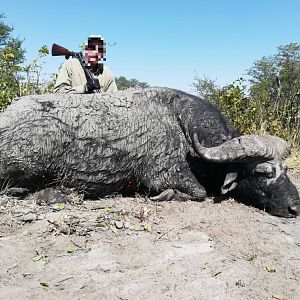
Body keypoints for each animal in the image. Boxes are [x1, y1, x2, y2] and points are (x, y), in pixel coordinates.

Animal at [0, 88, 298, 217]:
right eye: (263, 172)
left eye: (285, 170)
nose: (295, 207)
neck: (182, 125)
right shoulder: (163, 175)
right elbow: (198, 192)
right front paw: (169, 195)